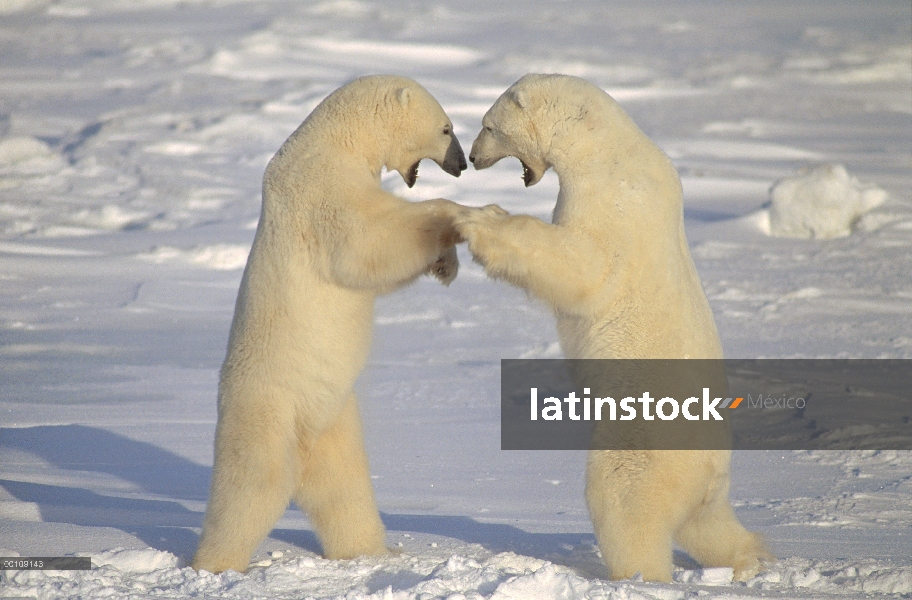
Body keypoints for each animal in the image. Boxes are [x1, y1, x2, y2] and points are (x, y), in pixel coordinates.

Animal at [194, 75, 470, 572]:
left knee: (345, 485)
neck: (334, 140)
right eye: (446, 128)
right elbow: (366, 239)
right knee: (251, 485)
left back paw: (374, 550)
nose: (461, 164)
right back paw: (214, 563)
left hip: (334, 415)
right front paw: (452, 216)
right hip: (268, 405)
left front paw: (447, 265)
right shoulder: (323, 189)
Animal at [456, 74, 768, 580]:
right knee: (709, 523)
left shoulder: (612, 204)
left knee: (625, 502)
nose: (471, 157)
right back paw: (752, 559)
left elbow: (581, 264)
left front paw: (478, 220)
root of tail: (709, 468)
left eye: (488, 125)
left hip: (646, 441)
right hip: (709, 482)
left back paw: (641, 576)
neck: (604, 147)